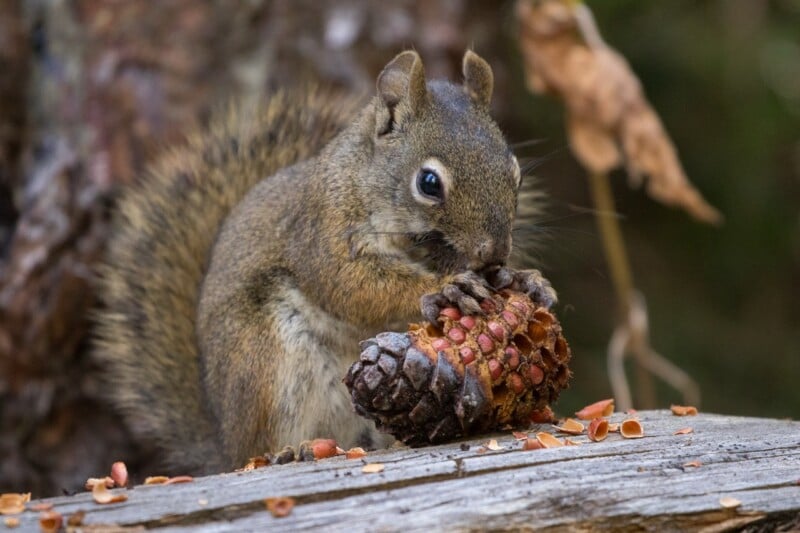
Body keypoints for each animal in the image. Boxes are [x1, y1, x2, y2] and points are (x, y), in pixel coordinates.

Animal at [95, 50, 557, 475]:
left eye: (515, 172)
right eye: (428, 183)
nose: (494, 252)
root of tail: (225, 442)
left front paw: (526, 280)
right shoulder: (323, 233)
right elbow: (352, 287)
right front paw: (444, 288)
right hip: (264, 360)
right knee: (261, 444)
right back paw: (285, 452)